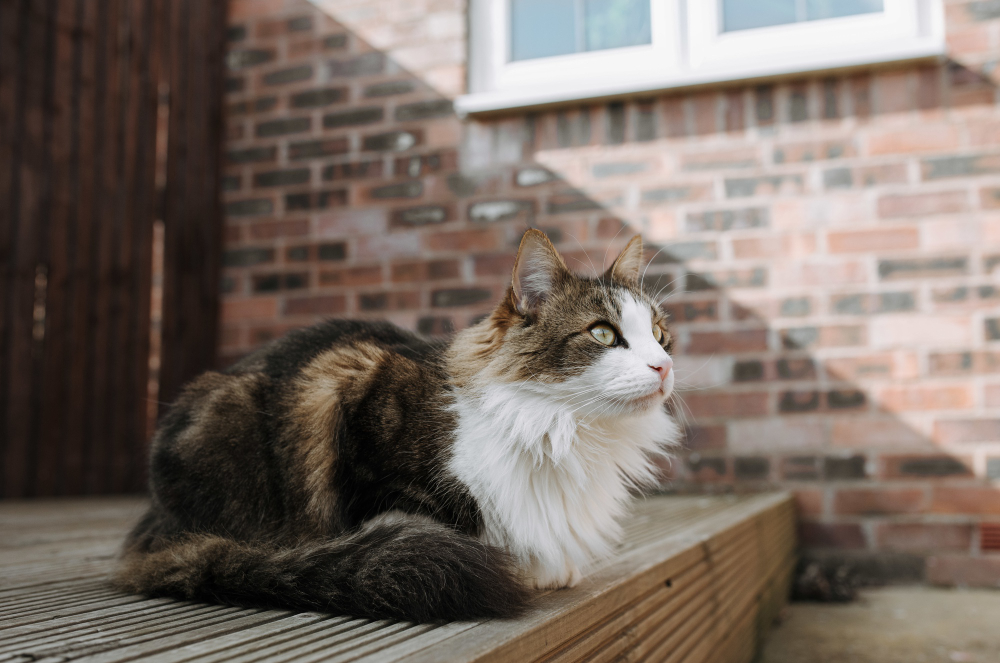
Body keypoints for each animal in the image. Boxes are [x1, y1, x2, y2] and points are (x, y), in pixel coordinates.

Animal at [113, 228, 684, 624]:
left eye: (660, 334)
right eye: (603, 333)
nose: (664, 366)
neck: (563, 429)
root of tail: (155, 520)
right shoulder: (358, 398)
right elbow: (429, 525)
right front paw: (524, 568)